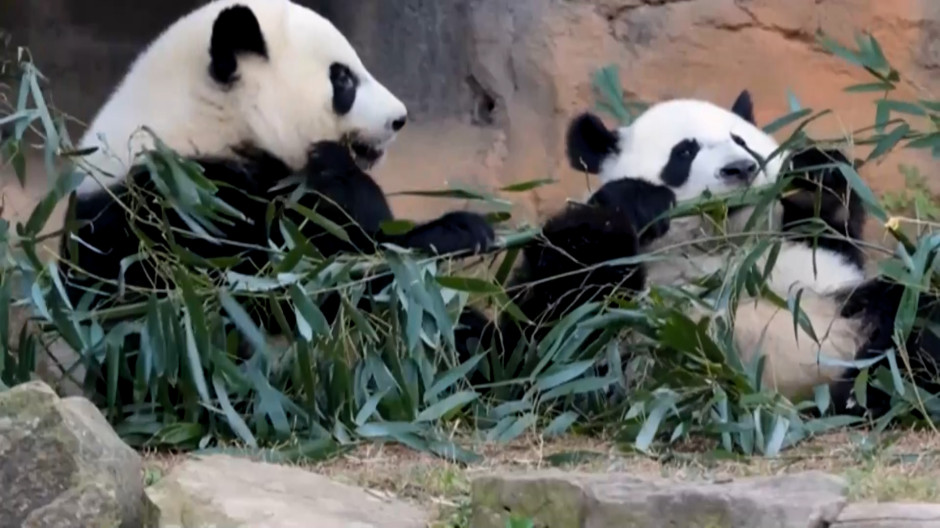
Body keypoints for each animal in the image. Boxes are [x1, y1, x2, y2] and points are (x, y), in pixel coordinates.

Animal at [53, 0, 495, 400]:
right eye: (343, 80)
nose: (398, 119)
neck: (208, 120)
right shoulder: (173, 206)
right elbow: (291, 287)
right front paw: (454, 230)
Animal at [458, 90, 940, 420]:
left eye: (741, 141)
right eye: (684, 152)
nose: (739, 170)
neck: (716, 247)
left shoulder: (806, 262)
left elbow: (828, 232)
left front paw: (816, 174)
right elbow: (546, 341)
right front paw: (632, 203)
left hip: (849, 316)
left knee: (912, 316)